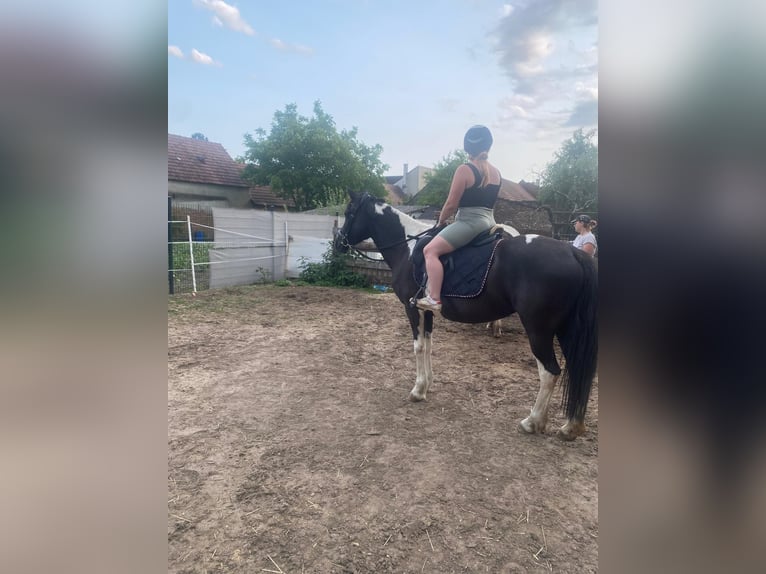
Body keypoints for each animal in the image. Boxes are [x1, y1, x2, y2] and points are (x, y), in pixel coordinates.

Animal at [334, 191, 598, 440]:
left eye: (349, 212)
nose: (338, 243)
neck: (408, 249)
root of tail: (573, 253)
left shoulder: (412, 309)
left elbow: (418, 347)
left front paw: (417, 390)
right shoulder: (427, 311)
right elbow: (429, 346)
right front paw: (427, 385)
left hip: (539, 330)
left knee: (550, 372)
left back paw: (532, 422)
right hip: (566, 330)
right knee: (577, 372)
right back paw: (571, 427)